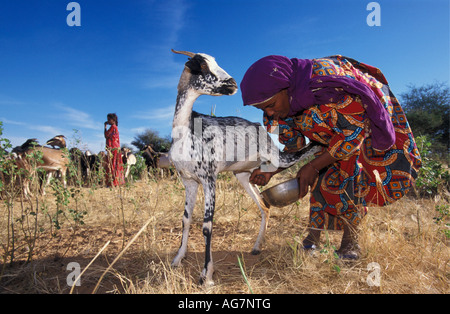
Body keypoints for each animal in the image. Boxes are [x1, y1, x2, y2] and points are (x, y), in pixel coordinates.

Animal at [169, 48, 320, 284]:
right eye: (201, 65)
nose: (232, 83)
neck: (186, 131)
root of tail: (259, 127)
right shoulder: (189, 181)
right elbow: (185, 220)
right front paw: (178, 259)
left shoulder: (209, 178)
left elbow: (207, 226)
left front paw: (206, 275)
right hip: (244, 175)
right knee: (264, 205)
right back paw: (257, 247)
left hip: (275, 156)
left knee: (301, 154)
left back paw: (328, 143)